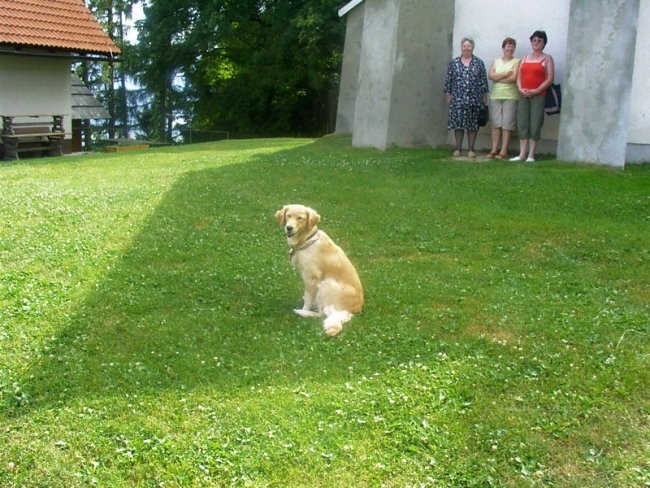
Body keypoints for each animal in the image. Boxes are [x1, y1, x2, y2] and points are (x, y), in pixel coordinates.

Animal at [274, 204, 364, 338]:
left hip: (327, 284)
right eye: (288, 215)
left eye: (300, 218)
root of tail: (354, 309)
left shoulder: (312, 278)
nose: (289, 228)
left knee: (323, 313)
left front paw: (305, 309)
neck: (306, 239)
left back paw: (302, 313)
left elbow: (308, 298)